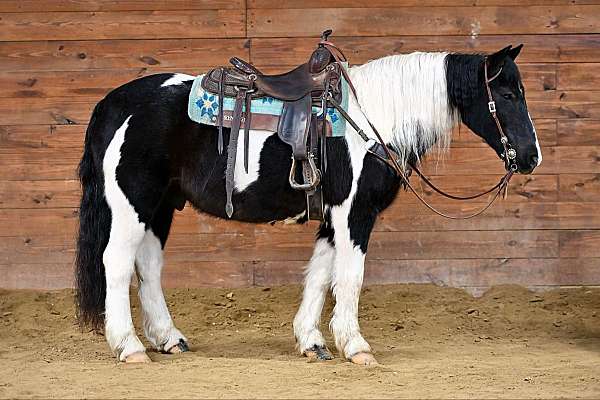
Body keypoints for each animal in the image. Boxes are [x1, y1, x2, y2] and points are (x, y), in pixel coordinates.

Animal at [74, 43, 540, 366]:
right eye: (508, 94)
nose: (531, 157)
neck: (373, 119)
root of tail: (114, 103)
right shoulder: (354, 213)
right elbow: (349, 278)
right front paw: (356, 346)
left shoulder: (333, 217)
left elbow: (319, 275)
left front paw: (311, 341)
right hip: (132, 204)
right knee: (117, 262)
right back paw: (130, 346)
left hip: (160, 207)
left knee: (148, 266)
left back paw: (169, 338)